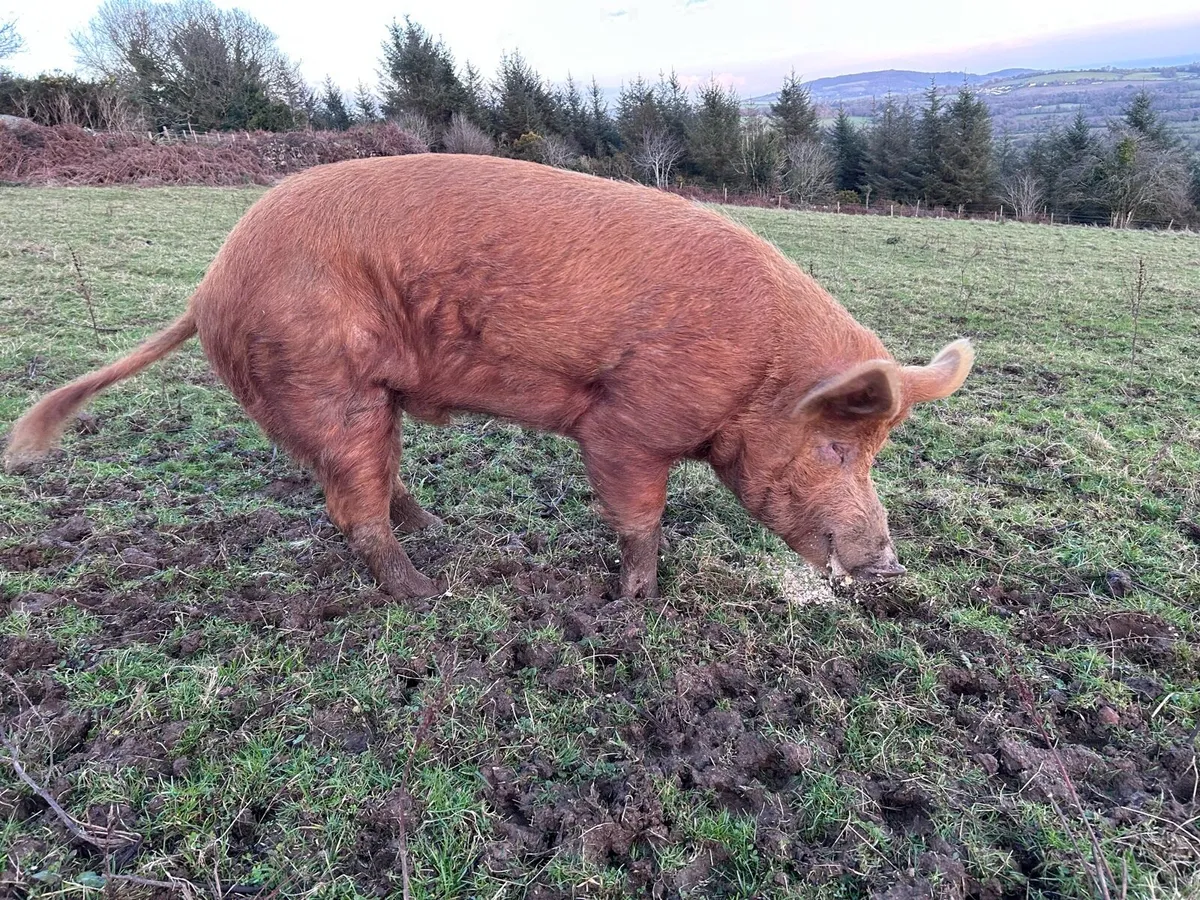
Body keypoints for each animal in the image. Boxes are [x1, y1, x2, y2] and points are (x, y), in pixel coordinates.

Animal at [3, 154, 973, 600]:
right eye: (836, 448)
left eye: (877, 452)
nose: (889, 562)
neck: (757, 373)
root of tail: (207, 288)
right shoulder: (626, 425)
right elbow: (640, 516)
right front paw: (635, 603)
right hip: (327, 384)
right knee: (351, 507)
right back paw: (427, 592)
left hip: (352, 399)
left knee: (369, 484)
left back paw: (441, 531)